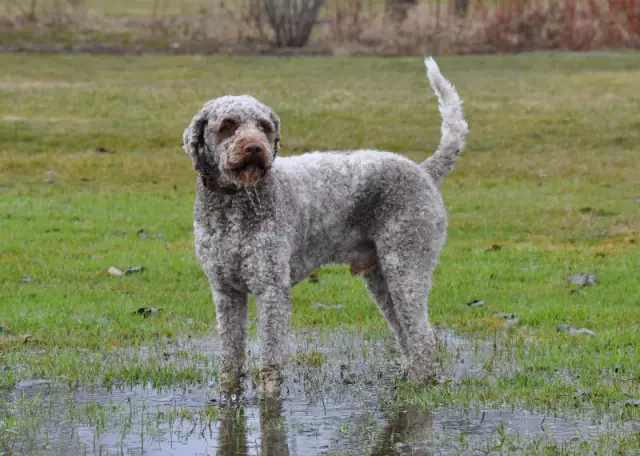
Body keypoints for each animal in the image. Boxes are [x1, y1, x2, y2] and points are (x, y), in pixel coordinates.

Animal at [182, 58, 468, 400]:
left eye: (264, 126)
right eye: (227, 125)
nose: (254, 148)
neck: (234, 205)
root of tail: (423, 170)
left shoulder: (271, 289)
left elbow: (270, 359)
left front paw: (269, 400)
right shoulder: (225, 291)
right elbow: (231, 357)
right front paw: (229, 397)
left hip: (406, 269)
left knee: (423, 338)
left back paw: (416, 386)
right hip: (382, 279)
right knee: (408, 336)